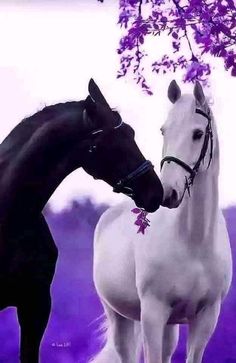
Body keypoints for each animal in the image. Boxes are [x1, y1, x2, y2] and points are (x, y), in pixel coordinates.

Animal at [91, 82, 232, 363]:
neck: (193, 241)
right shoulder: (153, 313)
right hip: (120, 317)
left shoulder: (206, 317)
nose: (168, 193)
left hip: (170, 325)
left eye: (198, 133)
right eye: (163, 130)